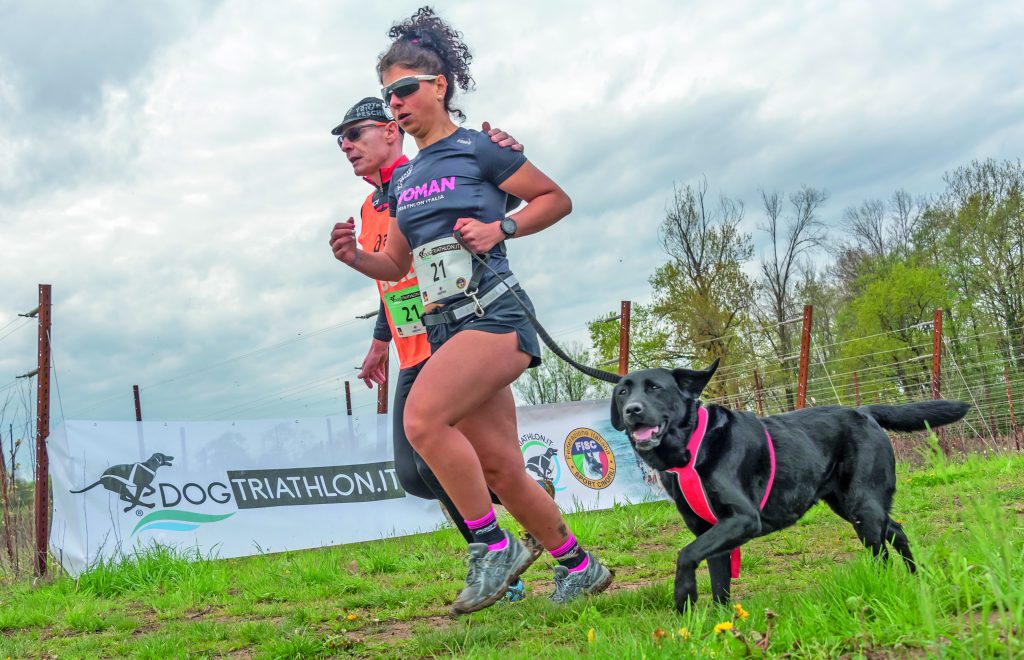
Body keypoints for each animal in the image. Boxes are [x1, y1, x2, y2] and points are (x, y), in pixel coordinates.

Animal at [610, 358, 970, 609]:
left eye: (655, 388)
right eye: (623, 392)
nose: (632, 411)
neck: (690, 452)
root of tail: (864, 411)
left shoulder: (742, 519)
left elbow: (685, 555)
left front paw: (683, 597)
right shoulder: (710, 531)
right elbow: (719, 585)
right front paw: (720, 627)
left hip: (862, 507)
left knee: (881, 550)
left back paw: (886, 587)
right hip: (849, 504)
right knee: (896, 529)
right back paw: (917, 576)